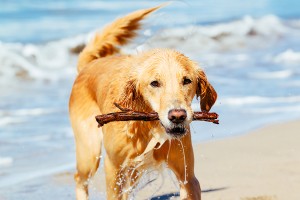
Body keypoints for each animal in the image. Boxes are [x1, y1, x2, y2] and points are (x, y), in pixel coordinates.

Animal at [69, 4, 217, 200]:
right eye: (154, 83)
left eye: (187, 80)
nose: (178, 116)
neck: (149, 127)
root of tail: (87, 65)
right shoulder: (114, 168)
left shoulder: (188, 177)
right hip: (89, 152)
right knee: (79, 178)